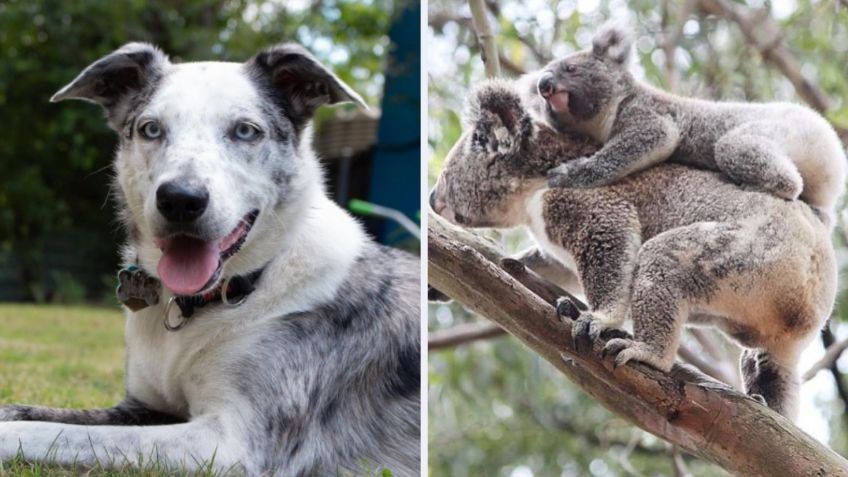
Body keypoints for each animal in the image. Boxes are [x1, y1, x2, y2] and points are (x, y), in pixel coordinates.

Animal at [0, 42, 422, 474]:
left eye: (246, 131)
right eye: (151, 129)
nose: (180, 200)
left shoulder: (230, 443)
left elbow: (53, 432)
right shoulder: (143, 408)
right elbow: (31, 413)